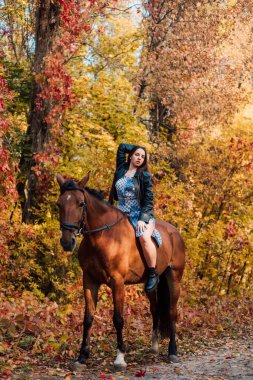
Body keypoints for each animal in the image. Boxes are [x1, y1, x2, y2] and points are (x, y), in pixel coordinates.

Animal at [56, 174, 185, 370]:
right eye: (59, 204)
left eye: (81, 203)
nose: (66, 242)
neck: (101, 237)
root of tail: (175, 232)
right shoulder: (90, 281)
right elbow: (88, 318)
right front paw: (81, 358)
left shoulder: (117, 282)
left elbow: (118, 319)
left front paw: (120, 358)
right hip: (151, 285)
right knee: (155, 309)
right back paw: (154, 347)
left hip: (174, 278)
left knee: (171, 311)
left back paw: (173, 352)